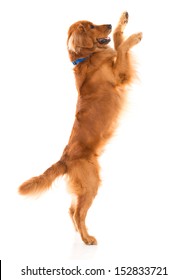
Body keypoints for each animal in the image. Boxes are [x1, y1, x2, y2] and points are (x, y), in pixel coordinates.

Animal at [18, 12, 142, 244]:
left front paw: (122, 21)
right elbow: (121, 48)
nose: (108, 24)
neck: (87, 57)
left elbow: (117, 41)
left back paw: (79, 233)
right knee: (78, 212)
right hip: (91, 183)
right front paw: (134, 37)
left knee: (71, 209)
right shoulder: (119, 74)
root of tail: (64, 158)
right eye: (91, 26)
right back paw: (88, 238)